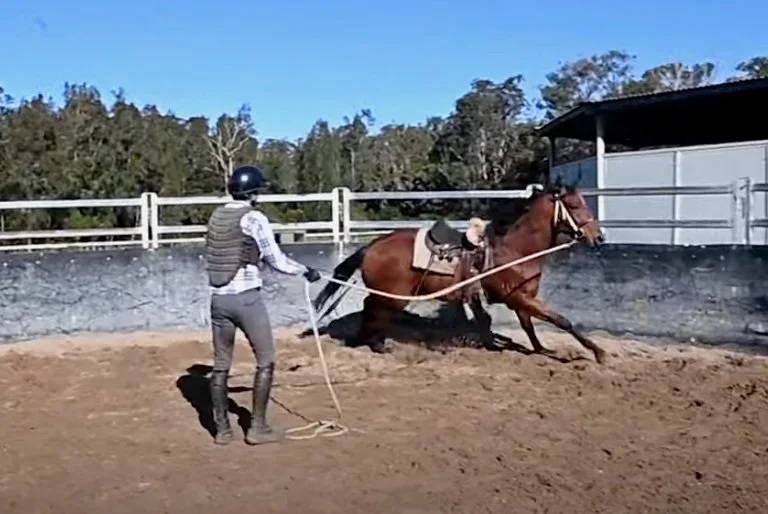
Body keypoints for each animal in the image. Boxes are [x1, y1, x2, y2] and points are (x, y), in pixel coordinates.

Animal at [312, 183, 608, 363]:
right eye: (575, 205)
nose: (599, 236)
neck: (514, 250)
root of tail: (372, 246)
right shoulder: (518, 298)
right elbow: (561, 320)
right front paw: (598, 352)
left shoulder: (522, 298)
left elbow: (528, 327)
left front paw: (541, 349)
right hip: (394, 295)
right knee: (372, 307)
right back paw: (375, 343)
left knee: (371, 307)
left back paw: (372, 341)